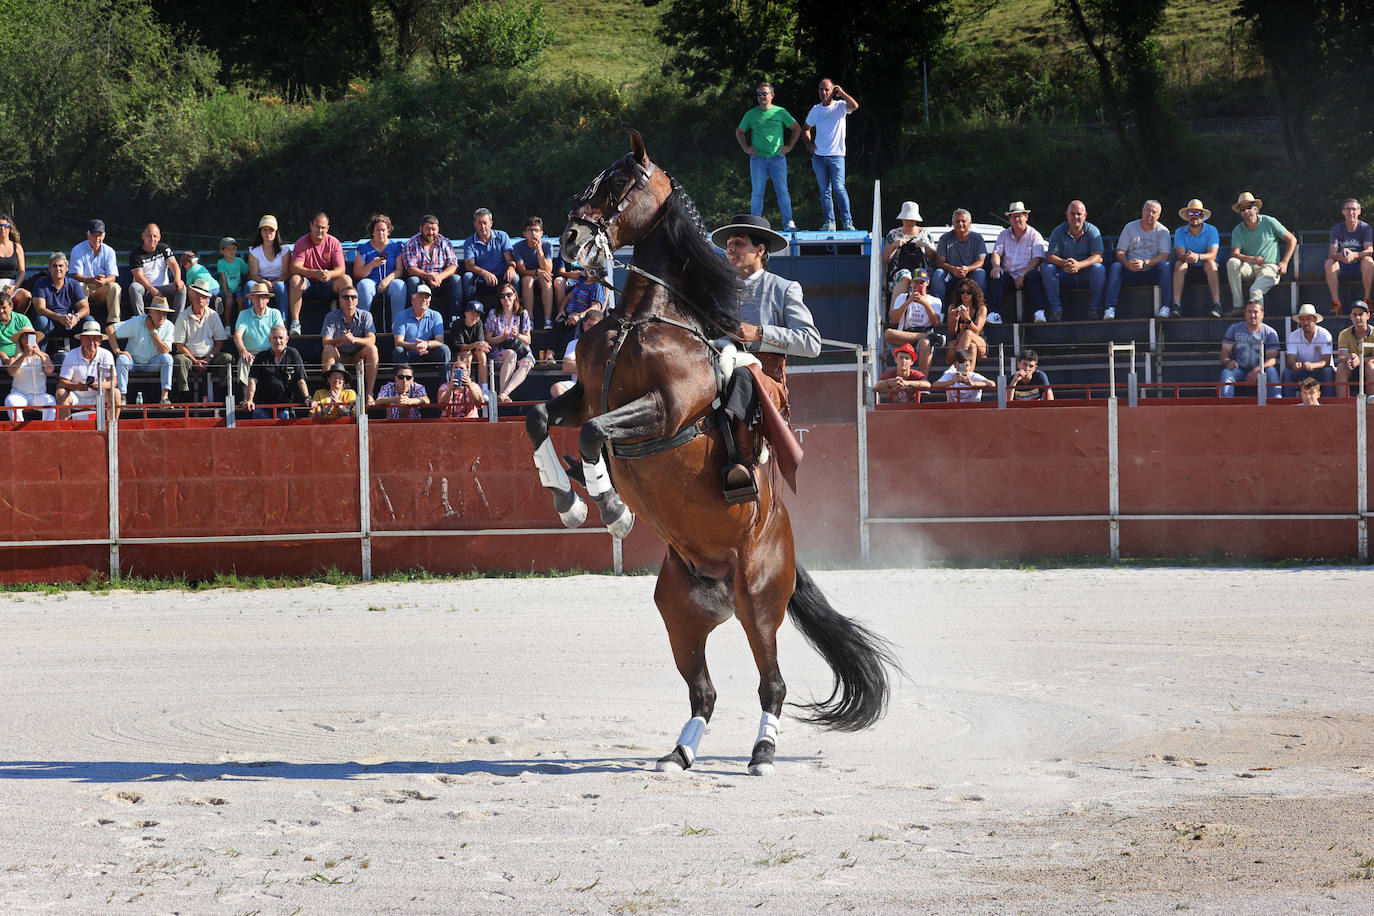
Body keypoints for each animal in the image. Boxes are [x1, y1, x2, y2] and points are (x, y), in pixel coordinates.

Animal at [519, 130, 895, 774]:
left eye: (622, 183)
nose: (569, 240)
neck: (642, 318)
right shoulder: (586, 394)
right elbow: (539, 416)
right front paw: (570, 502)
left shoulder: (665, 409)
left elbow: (593, 434)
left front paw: (612, 508)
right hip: (679, 612)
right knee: (704, 691)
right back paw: (679, 753)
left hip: (758, 604)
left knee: (772, 683)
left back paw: (763, 752)